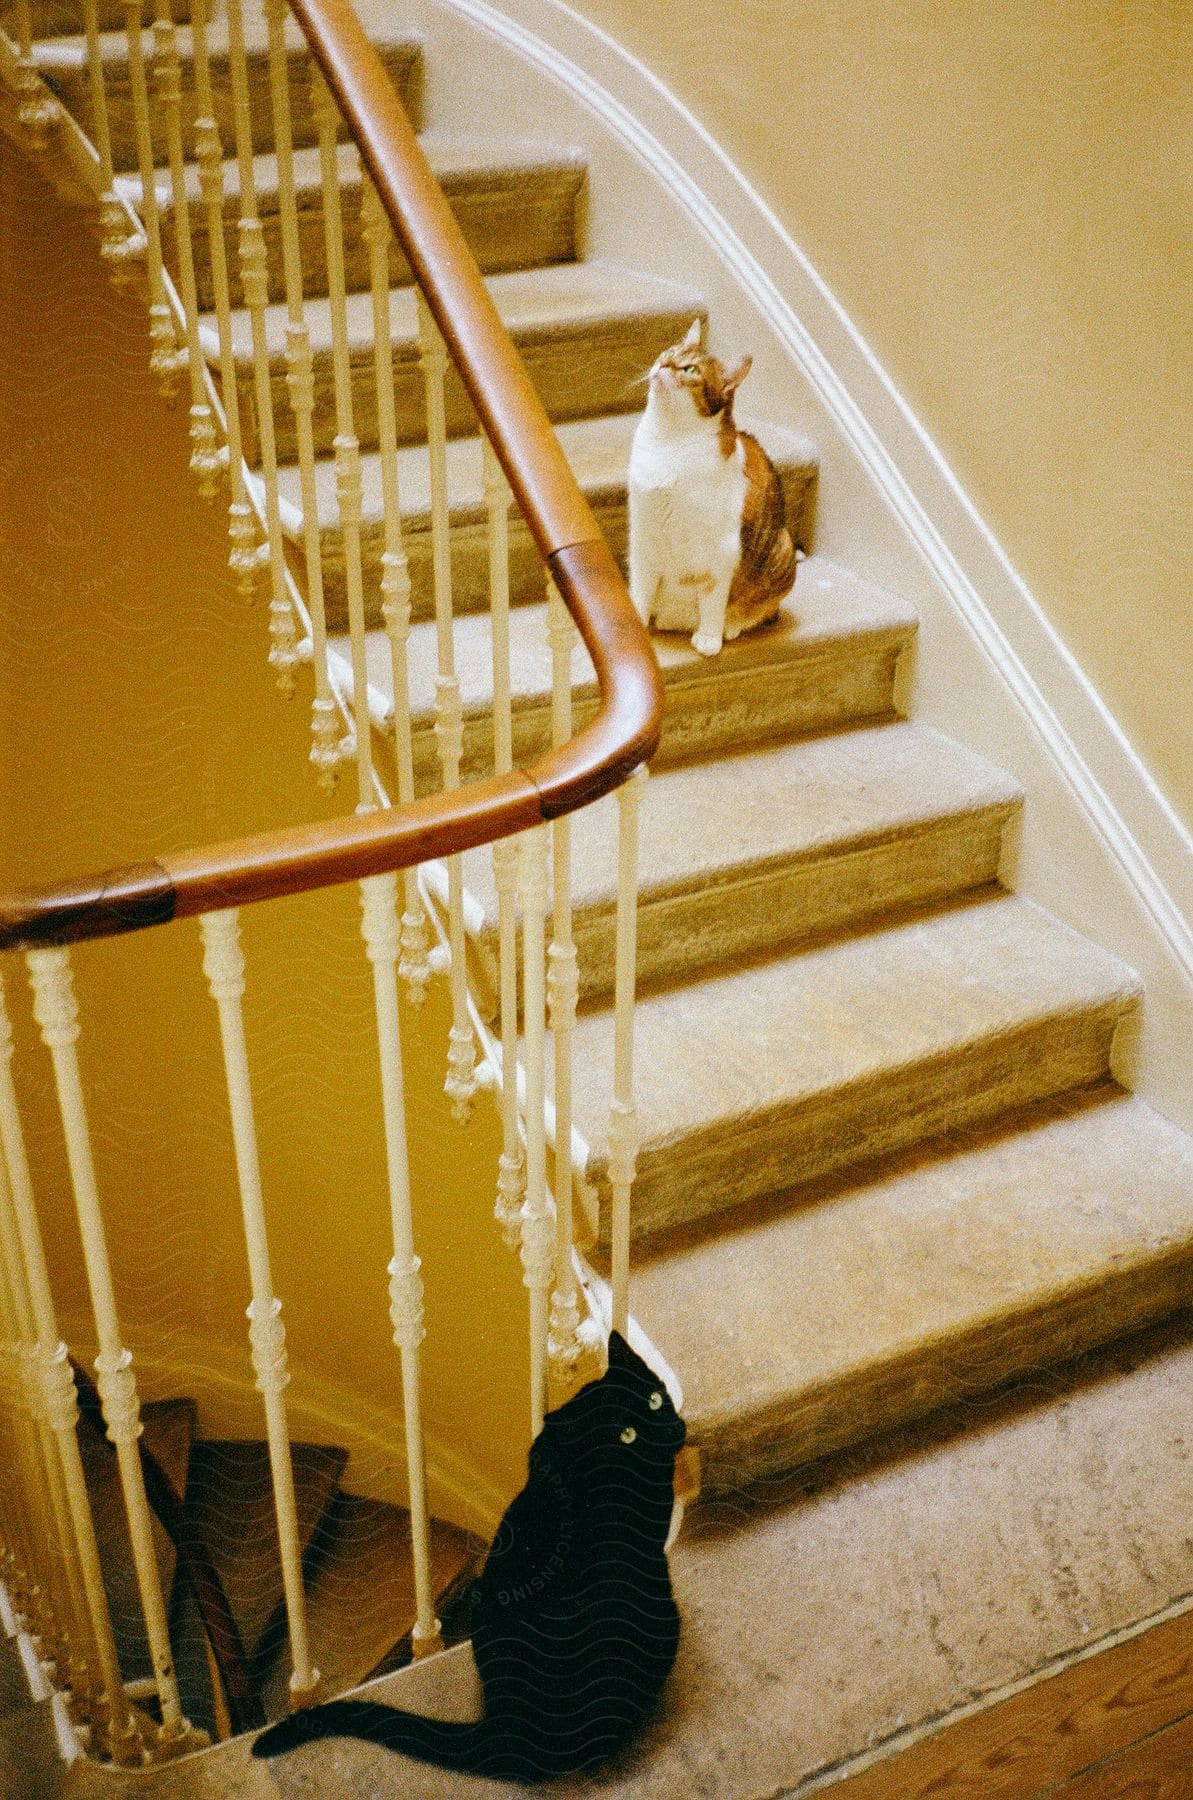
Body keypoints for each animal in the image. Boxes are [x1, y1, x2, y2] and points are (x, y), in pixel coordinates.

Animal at [629, 320, 798, 658]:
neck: (667, 442)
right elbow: (639, 592)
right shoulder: (642, 540)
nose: (663, 365)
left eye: (690, 369)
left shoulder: (719, 552)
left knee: (756, 611)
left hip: (783, 547)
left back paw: (729, 626)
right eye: (668, 353)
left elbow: (711, 598)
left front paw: (709, 637)